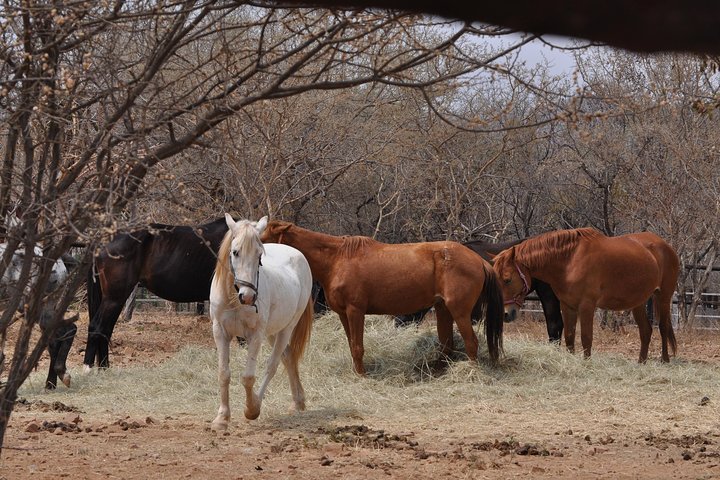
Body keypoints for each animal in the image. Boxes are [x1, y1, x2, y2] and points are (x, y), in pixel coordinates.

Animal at [210, 215, 313, 429]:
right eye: (235, 252)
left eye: (259, 256)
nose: (248, 296)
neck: (234, 299)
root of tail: (297, 254)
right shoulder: (220, 332)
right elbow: (224, 373)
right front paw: (222, 418)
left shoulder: (255, 335)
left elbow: (248, 377)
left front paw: (251, 410)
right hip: (273, 331)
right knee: (288, 357)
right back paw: (297, 403)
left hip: (286, 328)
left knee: (273, 364)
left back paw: (260, 402)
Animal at [260, 220, 504, 375]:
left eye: (263, 240)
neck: (337, 259)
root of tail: (479, 261)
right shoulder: (343, 314)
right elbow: (351, 345)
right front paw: (357, 372)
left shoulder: (355, 311)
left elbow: (358, 346)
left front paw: (362, 375)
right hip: (443, 309)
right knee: (446, 344)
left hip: (459, 311)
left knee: (471, 343)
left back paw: (471, 373)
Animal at [492, 227, 679, 362]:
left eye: (507, 280)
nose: (506, 314)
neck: (570, 260)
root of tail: (665, 246)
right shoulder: (567, 305)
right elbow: (569, 337)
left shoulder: (587, 306)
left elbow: (586, 338)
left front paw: (587, 363)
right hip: (638, 302)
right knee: (646, 330)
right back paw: (641, 362)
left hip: (663, 298)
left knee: (662, 327)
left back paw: (665, 360)